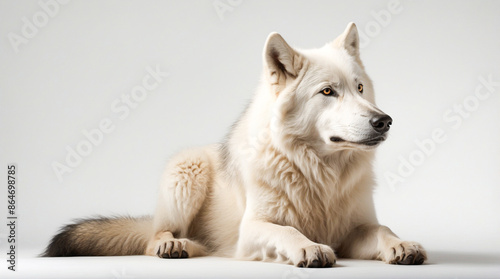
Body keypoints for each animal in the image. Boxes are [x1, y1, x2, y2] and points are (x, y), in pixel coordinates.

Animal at [45, 23, 426, 268]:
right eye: (328, 92)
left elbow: (382, 229)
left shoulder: (355, 230)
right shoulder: (253, 229)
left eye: (360, 88)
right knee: (153, 237)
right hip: (187, 173)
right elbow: (287, 230)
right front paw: (309, 248)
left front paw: (402, 244)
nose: (384, 120)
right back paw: (174, 245)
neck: (318, 172)